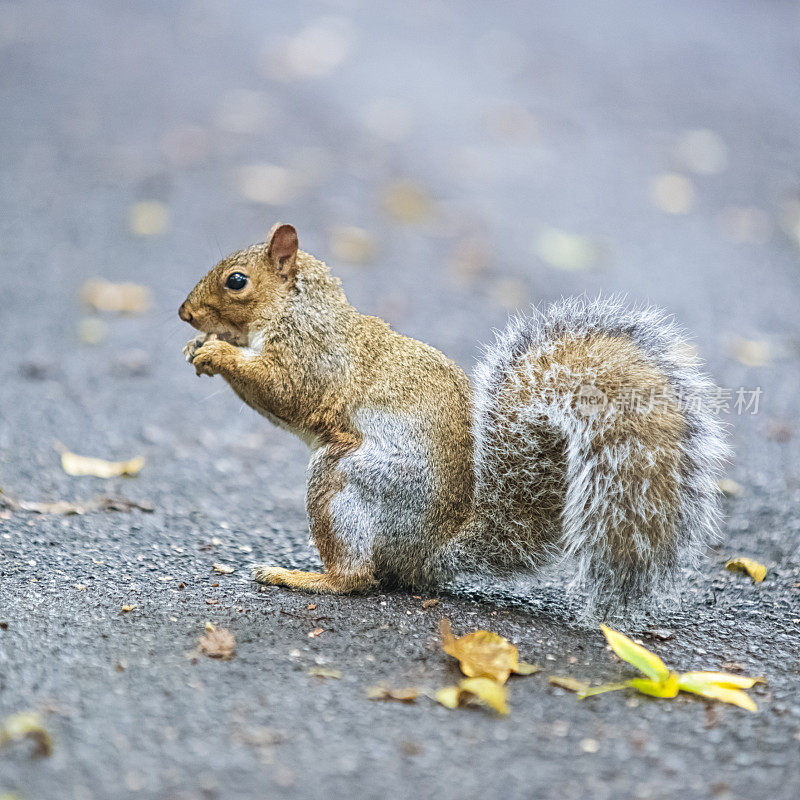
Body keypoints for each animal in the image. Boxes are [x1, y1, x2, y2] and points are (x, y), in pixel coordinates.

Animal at [178, 219, 728, 612]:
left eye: (236, 281)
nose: (185, 314)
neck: (299, 309)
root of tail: (427, 555)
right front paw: (198, 347)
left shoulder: (313, 359)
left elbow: (286, 393)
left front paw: (216, 352)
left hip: (345, 480)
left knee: (357, 578)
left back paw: (301, 577)